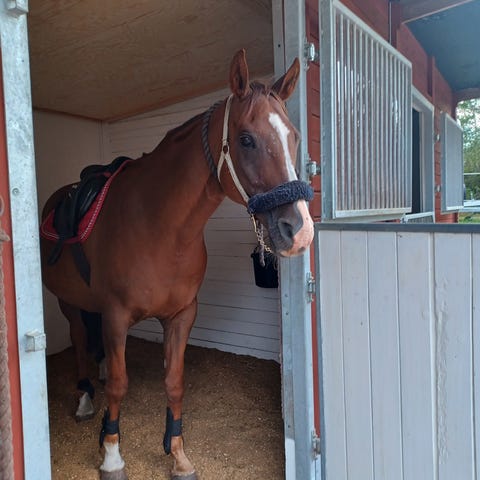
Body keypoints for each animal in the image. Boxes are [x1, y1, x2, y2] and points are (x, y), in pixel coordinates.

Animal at [40, 49, 314, 480]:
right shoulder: (116, 315)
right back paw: (85, 397)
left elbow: (174, 382)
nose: (299, 231)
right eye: (246, 139)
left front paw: (179, 455)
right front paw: (111, 454)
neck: (161, 227)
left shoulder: (182, 315)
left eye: (294, 137)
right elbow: (119, 384)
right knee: (81, 339)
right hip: (68, 300)